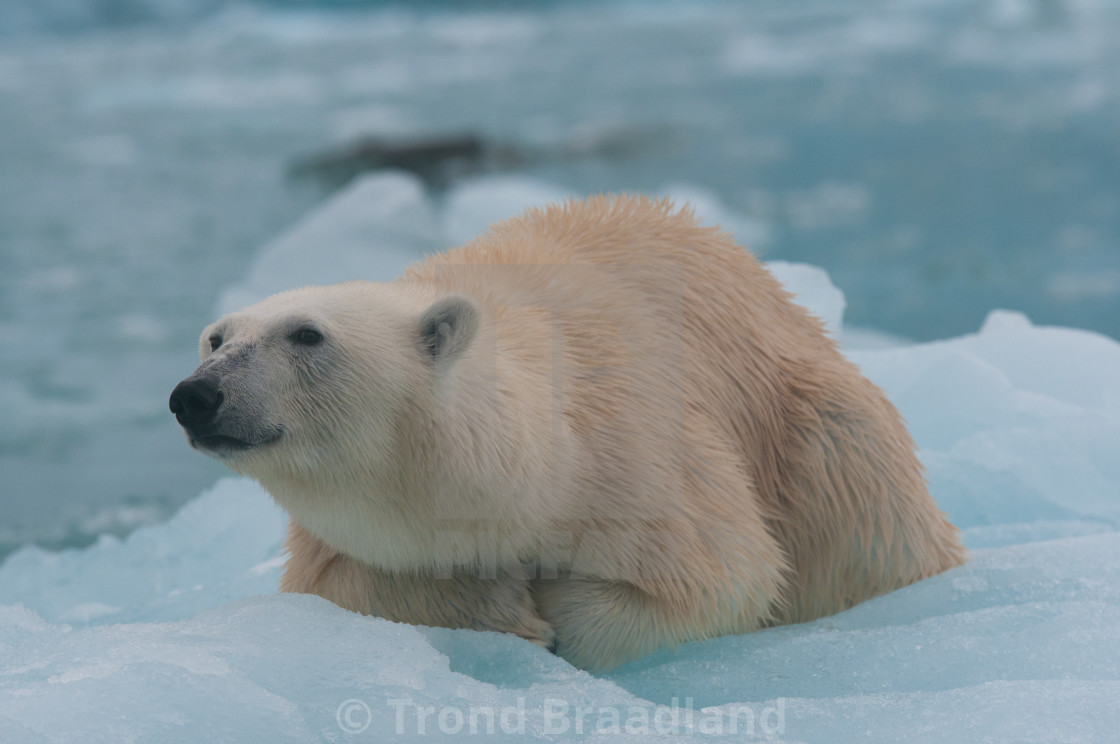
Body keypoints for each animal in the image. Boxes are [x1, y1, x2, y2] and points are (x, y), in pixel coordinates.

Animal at [170, 194, 967, 672]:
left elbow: (724, 578)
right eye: (216, 337)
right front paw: (497, 604)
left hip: (820, 437)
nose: (196, 395)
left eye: (307, 334)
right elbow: (342, 587)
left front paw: (549, 611)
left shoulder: (637, 457)